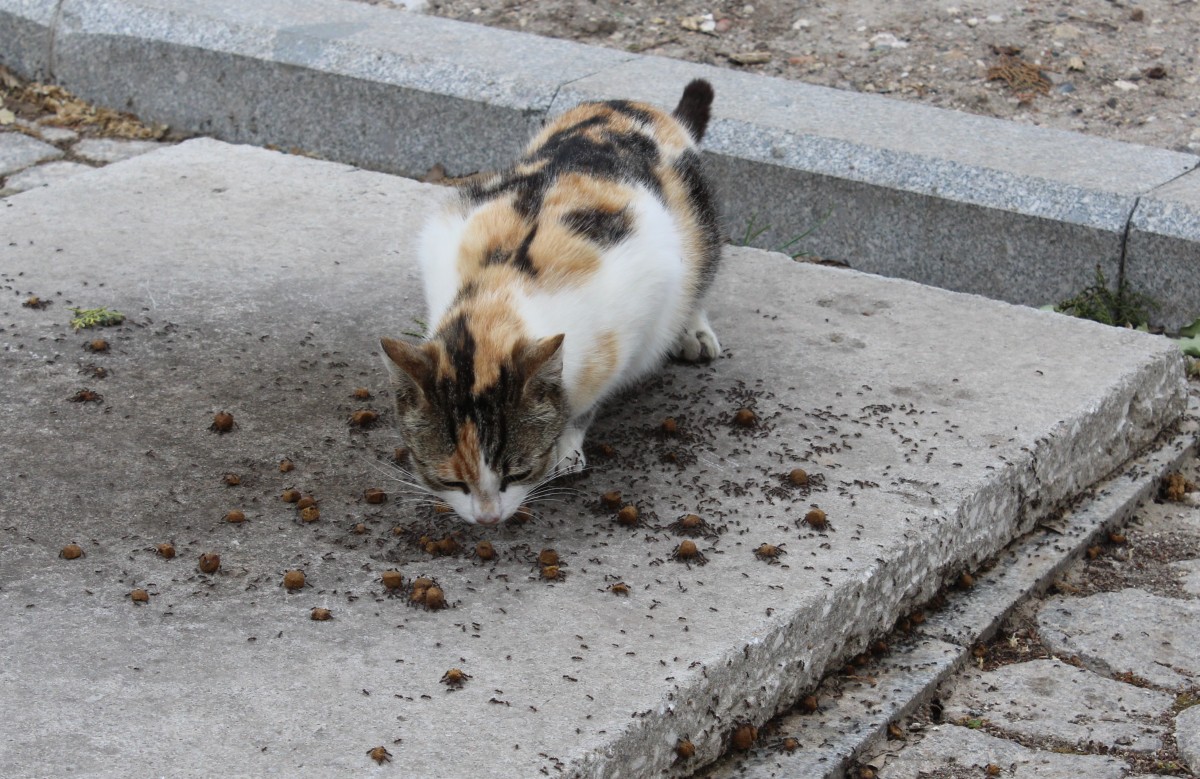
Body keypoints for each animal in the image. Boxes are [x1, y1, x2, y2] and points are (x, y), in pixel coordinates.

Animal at [381, 79, 720, 525]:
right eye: (450, 481)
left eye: (518, 473)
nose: (488, 519)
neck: (496, 299)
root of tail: (645, 108)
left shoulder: (637, 313)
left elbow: (584, 404)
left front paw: (565, 447)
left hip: (700, 229)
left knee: (700, 279)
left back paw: (695, 332)